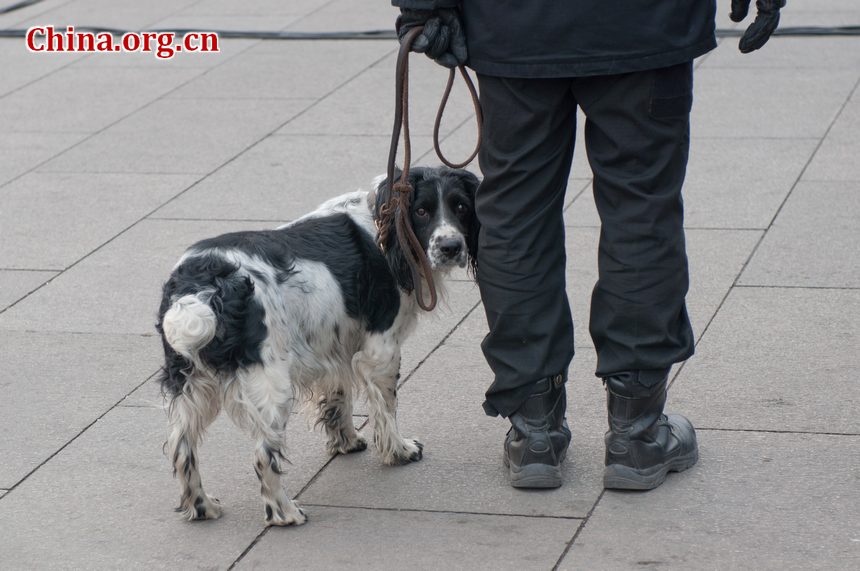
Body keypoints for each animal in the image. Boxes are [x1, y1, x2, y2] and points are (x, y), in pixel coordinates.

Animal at [155, 165, 478, 528]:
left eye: (461, 206)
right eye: (422, 211)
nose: (451, 246)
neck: (383, 225)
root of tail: (203, 286)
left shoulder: (334, 347)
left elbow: (338, 398)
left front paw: (346, 442)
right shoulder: (381, 350)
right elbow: (387, 408)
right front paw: (400, 450)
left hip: (192, 384)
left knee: (182, 448)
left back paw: (201, 506)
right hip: (271, 385)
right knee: (263, 456)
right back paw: (284, 513)